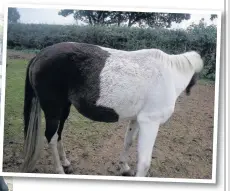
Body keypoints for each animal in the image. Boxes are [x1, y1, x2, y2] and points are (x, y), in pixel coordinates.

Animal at [20, 41, 203, 176]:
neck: (168, 76)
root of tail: (40, 55)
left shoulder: (137, 119)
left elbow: (128, 141)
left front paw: (124, 167)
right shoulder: (150, 122)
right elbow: (144, 163)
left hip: (63, 109)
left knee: (59, 134)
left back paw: (66, 163)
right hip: (53, 110)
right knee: (50, 137)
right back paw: (59, 170)